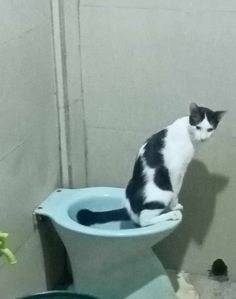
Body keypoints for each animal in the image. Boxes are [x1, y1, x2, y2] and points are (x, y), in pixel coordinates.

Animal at [77, 103, 225, 227]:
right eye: (198, 127)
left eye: (210, 129)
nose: (203, 138)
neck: (187, 132)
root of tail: (129, 209)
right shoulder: (176, 170)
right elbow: (176, 191)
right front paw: (174, 206)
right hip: (164, 192)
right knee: (144, 220)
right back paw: (172, 214)